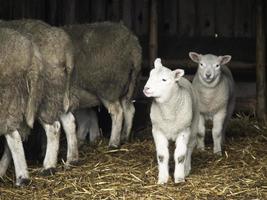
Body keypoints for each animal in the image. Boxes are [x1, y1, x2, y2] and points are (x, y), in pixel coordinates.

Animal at [62, 21, 142, 149]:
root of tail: (134, 46)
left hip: (107, 87)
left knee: (117, 112)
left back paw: (113, 143)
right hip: (127, 84)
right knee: (129, 109)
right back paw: (124, 137)